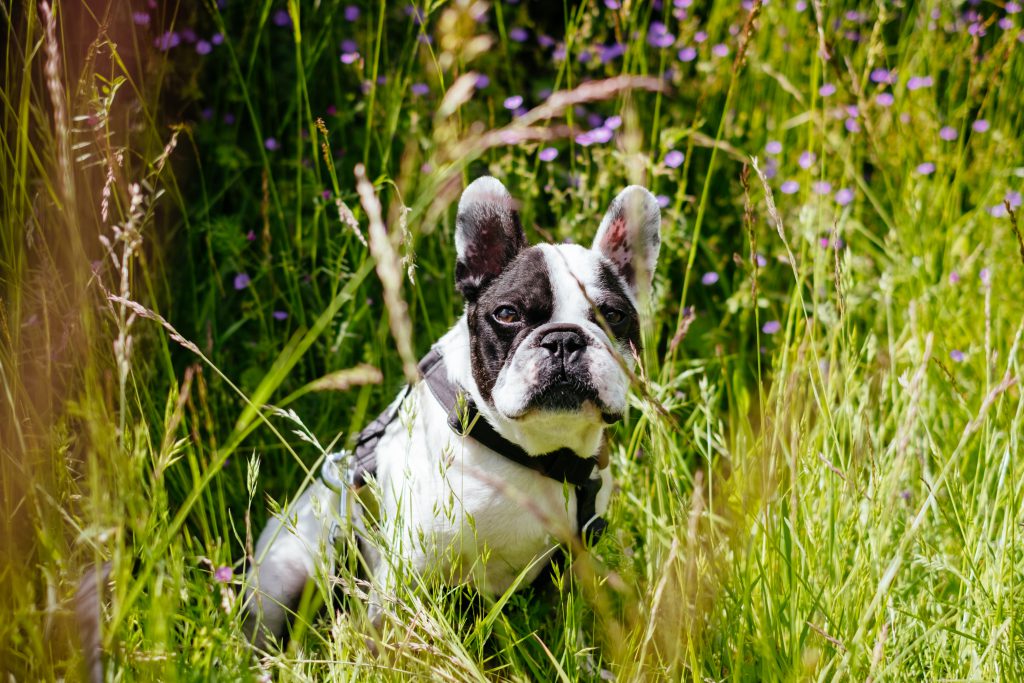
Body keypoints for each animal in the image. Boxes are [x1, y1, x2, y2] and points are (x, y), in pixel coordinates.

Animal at [245, 176, 663, 647]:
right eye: (507, 313)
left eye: (614, 315)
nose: (564, 339)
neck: (532, 454)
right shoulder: (403, 578)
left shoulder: (571, 565)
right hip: (284, 571)